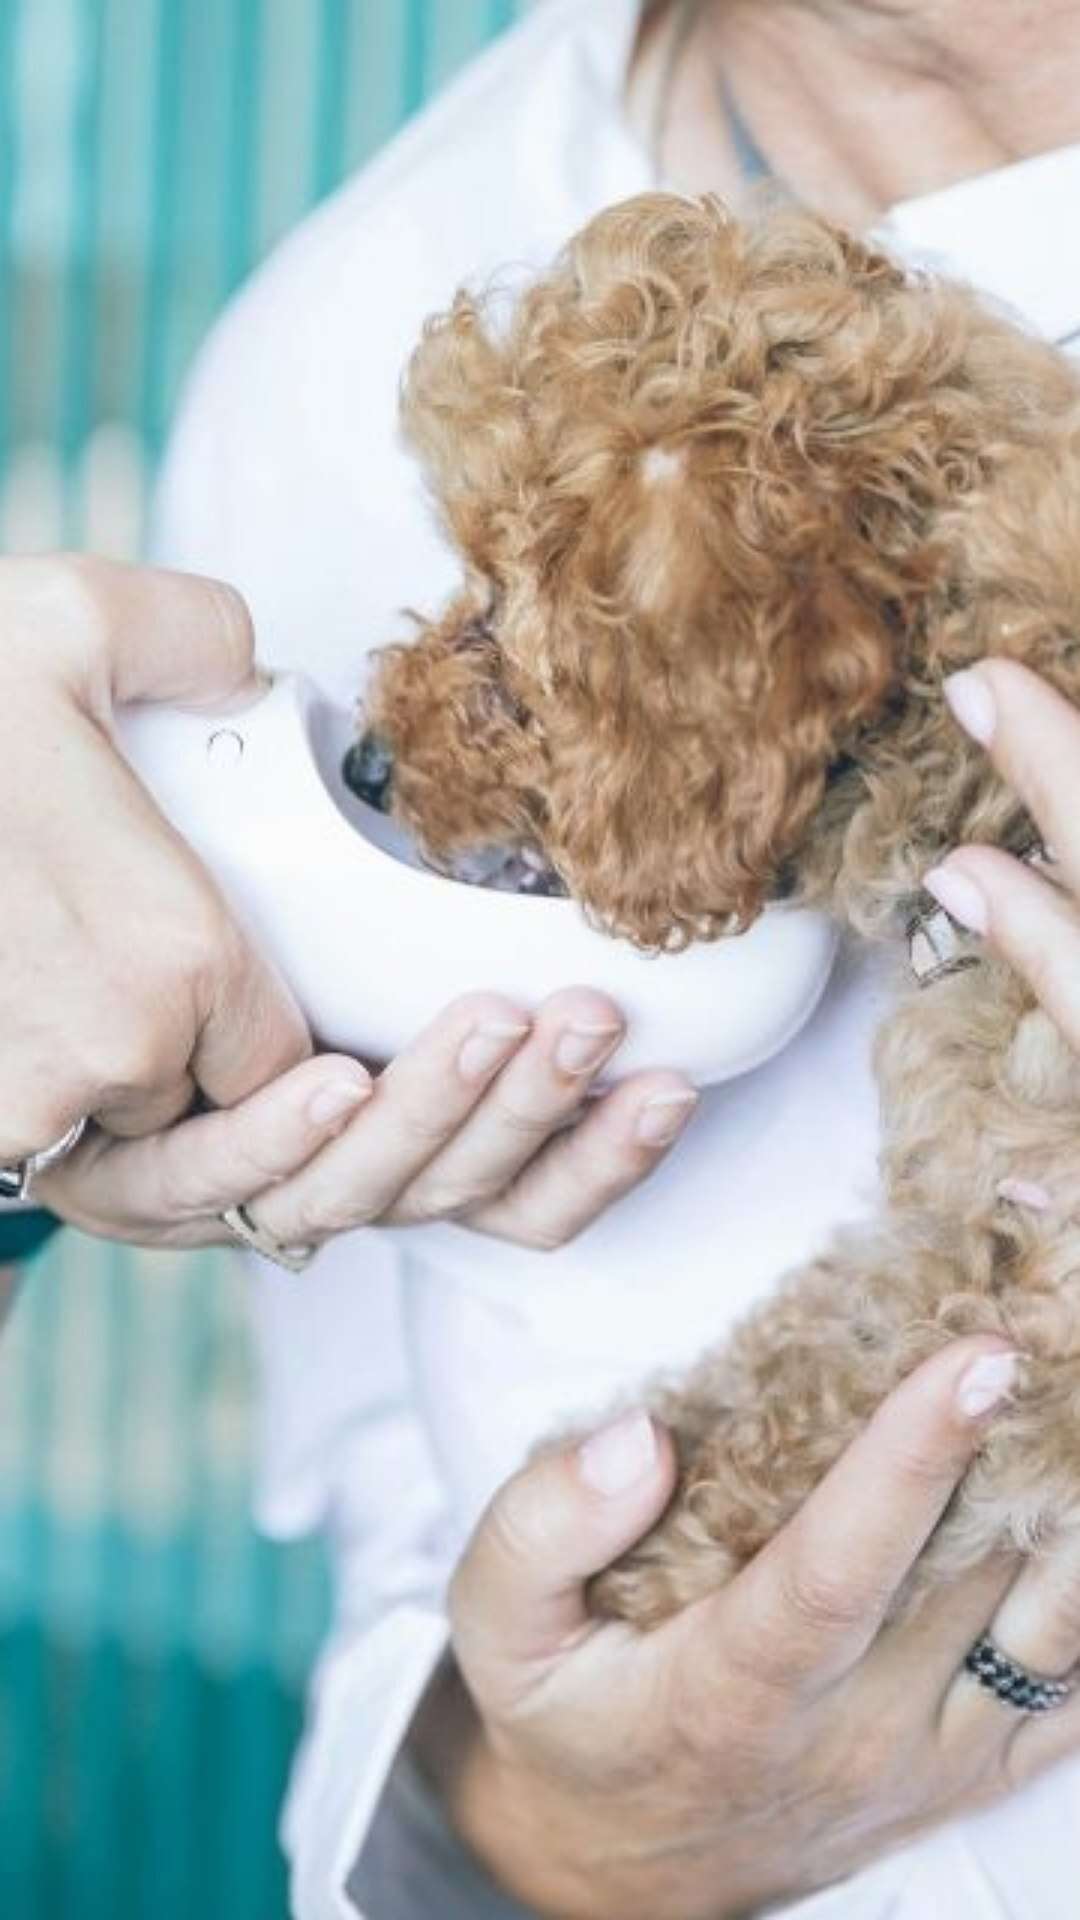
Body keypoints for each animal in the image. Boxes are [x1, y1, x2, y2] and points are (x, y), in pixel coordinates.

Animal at [353, 194, 1080, 1628]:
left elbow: (855, 1387)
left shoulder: (1041, 1294)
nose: (363, 765)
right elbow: (830, 1326)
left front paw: (653, 1529)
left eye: (503, 616)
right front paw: (636, 1459)